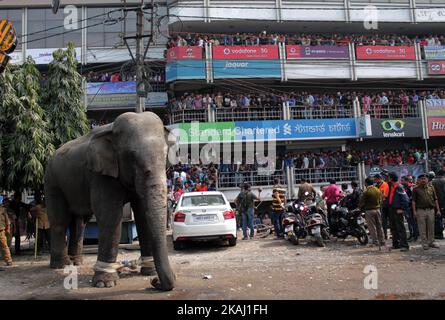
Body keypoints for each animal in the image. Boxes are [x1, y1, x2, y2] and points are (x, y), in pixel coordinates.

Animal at [43, 112, 175, 290]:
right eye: (132, 156)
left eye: (165, 154)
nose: (155, 283)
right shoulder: (101, 174)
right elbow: (110, 218)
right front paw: (105, 283)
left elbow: (142, 216)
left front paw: (149, 272)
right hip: (52, 182)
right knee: (60, 221)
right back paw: (61, 265)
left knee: (79, 223)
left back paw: (76, 262)